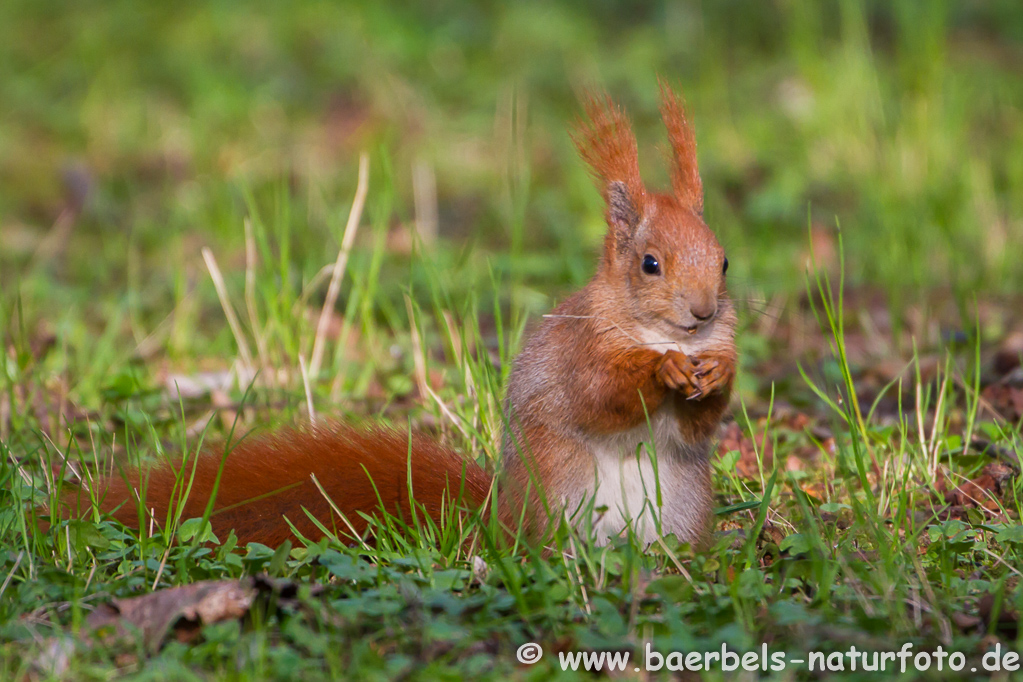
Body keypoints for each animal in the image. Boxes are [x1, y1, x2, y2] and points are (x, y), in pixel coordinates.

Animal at [79, 86, 736, 556]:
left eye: (724, 260)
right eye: (650, 265)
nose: (704, 312)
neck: (657, 331)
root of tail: (497, 515)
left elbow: (698, 424)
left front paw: (715, 377)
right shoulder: (582, 349)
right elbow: (600, 396)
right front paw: (661, 373)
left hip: (682, 499)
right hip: (561, 488)